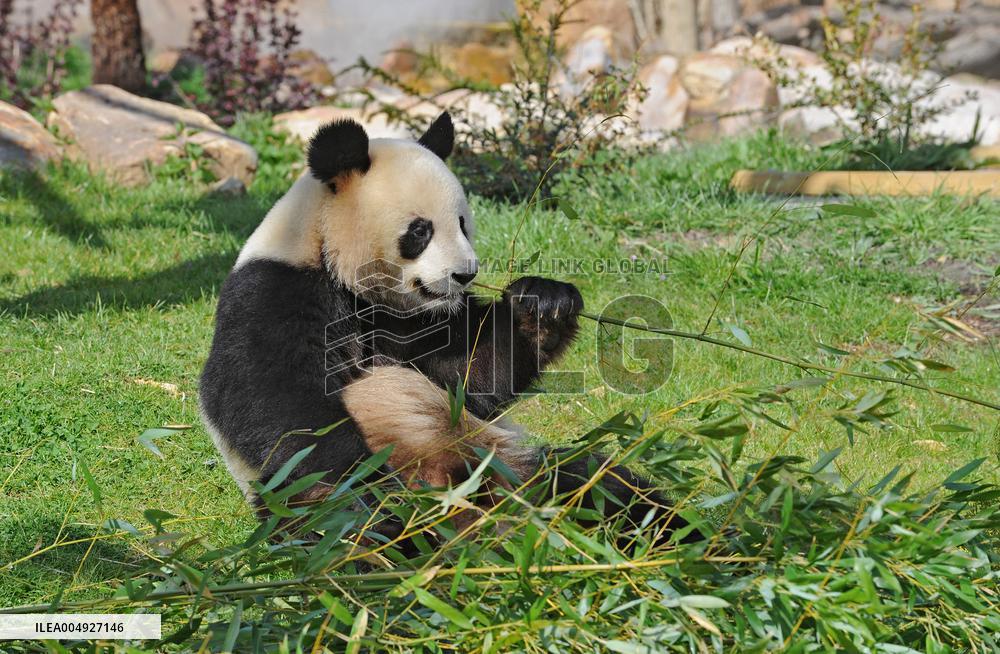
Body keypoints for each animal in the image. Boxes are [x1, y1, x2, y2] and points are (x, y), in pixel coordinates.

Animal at [199, 112, 692, 544]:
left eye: (462, 224)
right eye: (421, 231)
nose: (465, 275)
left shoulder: (423, 322)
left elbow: (470, 376)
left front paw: (543, 304)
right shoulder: (276, 291)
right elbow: (278, 405)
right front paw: (365, 487)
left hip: (504, 463)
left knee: (601, 487)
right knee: (346, 534)